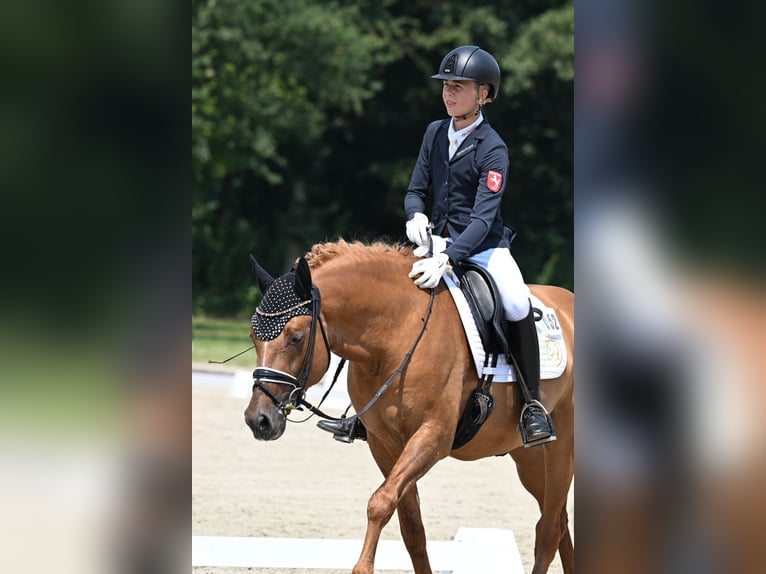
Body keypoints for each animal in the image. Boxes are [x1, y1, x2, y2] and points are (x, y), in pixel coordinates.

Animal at [243, 241, 572, 574]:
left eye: (296, 337)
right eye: (253, 337)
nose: (258, 420)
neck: (394, 334)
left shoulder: (432, 437)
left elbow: (380, 502)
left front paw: (362, 568)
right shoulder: (385, 444)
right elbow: (411, 526)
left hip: (560, 446)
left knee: (548, 530)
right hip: (528, 457)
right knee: (560, 522)